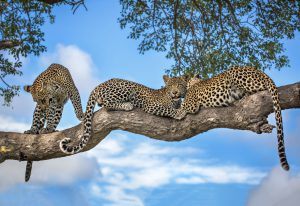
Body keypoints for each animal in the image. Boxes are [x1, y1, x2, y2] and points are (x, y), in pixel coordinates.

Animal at [59, 74, 189, 154]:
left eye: (179, 85)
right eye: (170, 86)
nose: (175, 92)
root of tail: (99, 85)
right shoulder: (151, 105)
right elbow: (167, 109)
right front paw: (180, 112)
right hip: (126, 89)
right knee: (107, 105)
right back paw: (127, 105)